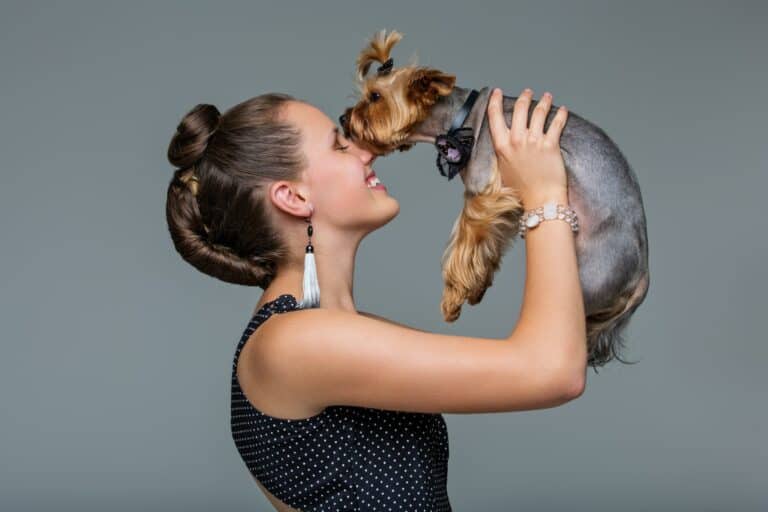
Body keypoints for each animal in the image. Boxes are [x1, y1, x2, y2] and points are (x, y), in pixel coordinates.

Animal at [340, 30, 648, 368]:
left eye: (375, 97)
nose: (343, 119)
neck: (458, 118)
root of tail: (642, 278)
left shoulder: (482, 193)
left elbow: (464, 243)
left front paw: (453, 298)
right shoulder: (504, 204)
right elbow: (489, 243)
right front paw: (475, 288)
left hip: (585, 279)